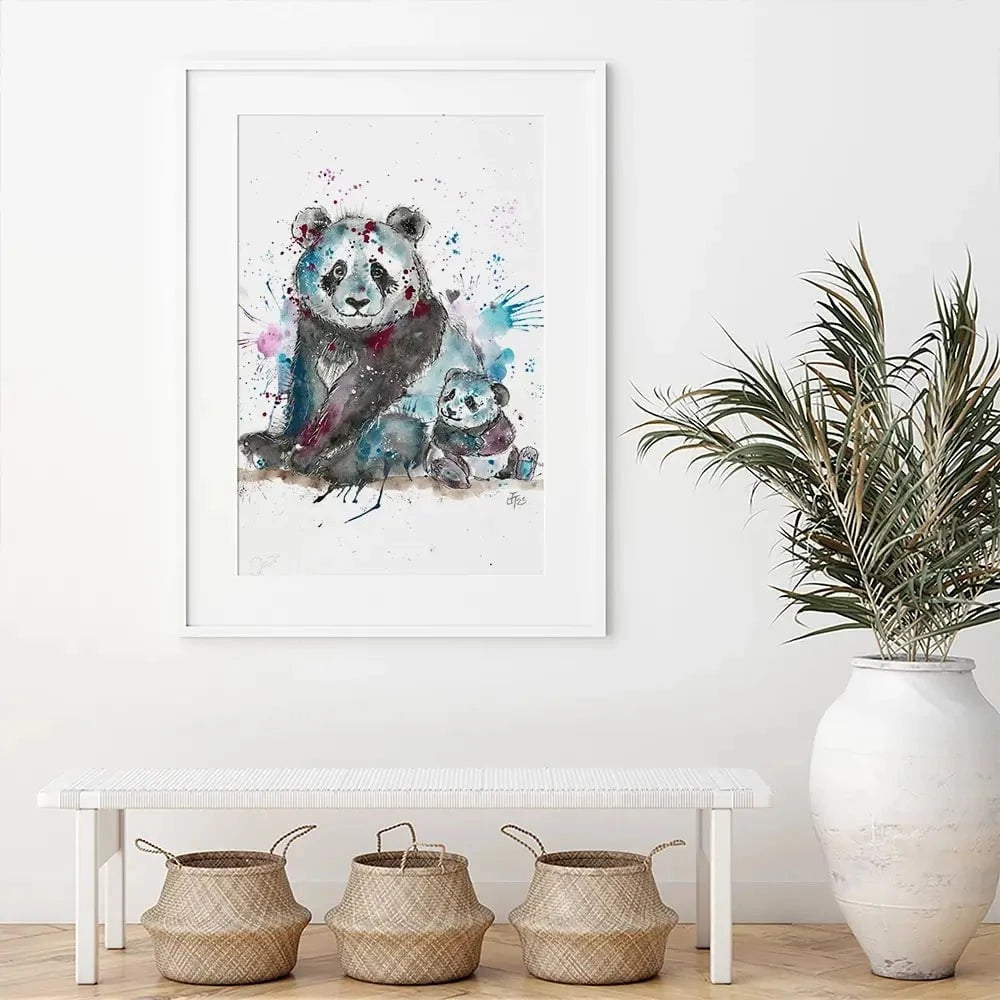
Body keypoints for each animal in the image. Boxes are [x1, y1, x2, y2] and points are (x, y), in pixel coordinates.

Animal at [240, 205, 448, 477]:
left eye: (378, 271)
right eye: (339, 270)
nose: (357, 302)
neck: (352, 333)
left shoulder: (411, 334)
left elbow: (357, 394)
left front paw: (305, 455)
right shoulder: (313, 333)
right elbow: (307, 388)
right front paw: (278, 444)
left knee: (396, 433)